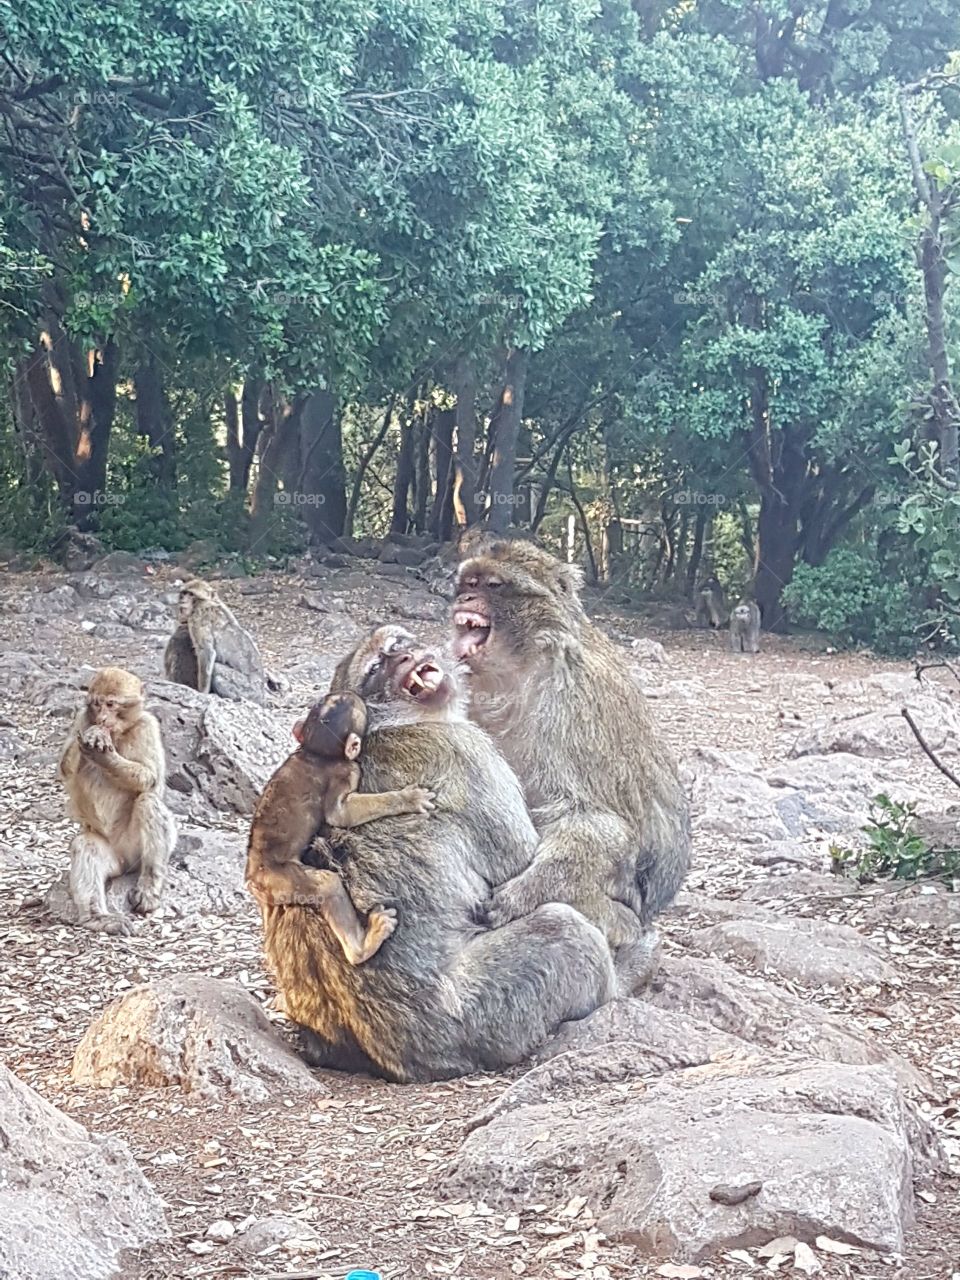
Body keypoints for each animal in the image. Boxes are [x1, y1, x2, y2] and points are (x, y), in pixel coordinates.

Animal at [59, 667, 177, 935]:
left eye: (111, 704)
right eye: (97, 704)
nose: (102, 718)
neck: (119, 732)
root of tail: (125, 862)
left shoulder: (148, 726)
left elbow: (152, 781)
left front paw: (106, 756)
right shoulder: (82, 718)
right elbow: (65, 769)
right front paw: (93, 736)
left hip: (135, 853)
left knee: (148, 802)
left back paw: (149, 888)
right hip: (114, 856)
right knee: (87, 845)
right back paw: (98, 918)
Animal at [245, 690, 435, 965]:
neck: (315, 751)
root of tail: (253, 881)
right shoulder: (346, 771)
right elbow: (340, 814)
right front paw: (408, 798)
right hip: (279, 879)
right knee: (328, 884)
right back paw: (363, 947)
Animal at [452, 536, 691, 992]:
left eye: (493, 585)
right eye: (469, 582)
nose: (464, 599)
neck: (523, 664)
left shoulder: (573, 702)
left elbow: (596, 821)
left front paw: (522, 895)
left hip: (621, 917)